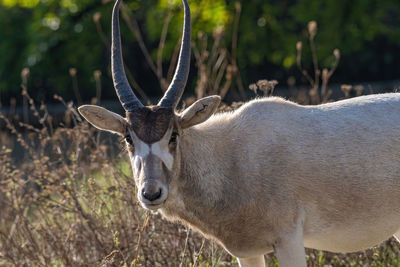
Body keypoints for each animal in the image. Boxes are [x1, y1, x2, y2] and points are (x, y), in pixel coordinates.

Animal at [78, 1, 400, 266]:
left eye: (173, 135)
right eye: (128, 139)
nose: (151, 193)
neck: (230, 157)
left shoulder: (289, 241)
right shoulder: (247, 251)